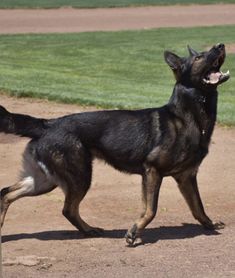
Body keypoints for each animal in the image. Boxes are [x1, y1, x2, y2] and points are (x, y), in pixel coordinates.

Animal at [0, 42, 230, 244]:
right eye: (199, 57)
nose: (221, 45)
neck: (187, 117)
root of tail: (47, 124)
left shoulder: (186, 177)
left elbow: (198, 207)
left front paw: (210, 225)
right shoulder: (152, 171)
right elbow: (151, 210)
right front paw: (134, 233)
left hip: (46, 181)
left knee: (6, 193)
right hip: (79, 177)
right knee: (68, 209)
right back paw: (88, 229)